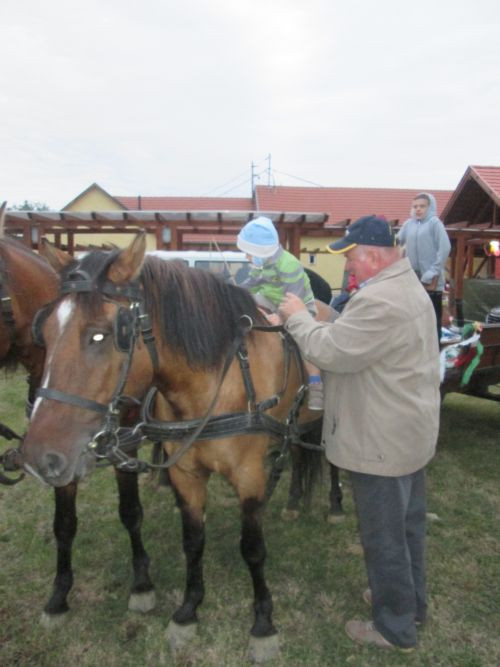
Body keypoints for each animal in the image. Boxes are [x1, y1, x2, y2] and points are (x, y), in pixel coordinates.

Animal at [0, 213, 154, 628]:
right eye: (45, 330)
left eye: (102, 335)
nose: (33, 457)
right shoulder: (61, 453)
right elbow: (64, 524)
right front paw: (59, 596)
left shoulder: (124, 444)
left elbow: (131, 512)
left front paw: (141, 584)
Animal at [20, 235, 320, 664]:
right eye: (43, 332)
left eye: (101, 335)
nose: (37, 457)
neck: (215, 382)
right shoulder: (185, 474)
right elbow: (192, 541)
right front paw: (188, 611)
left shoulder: (248, 475)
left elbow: (252, 549)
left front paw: (263, 624)